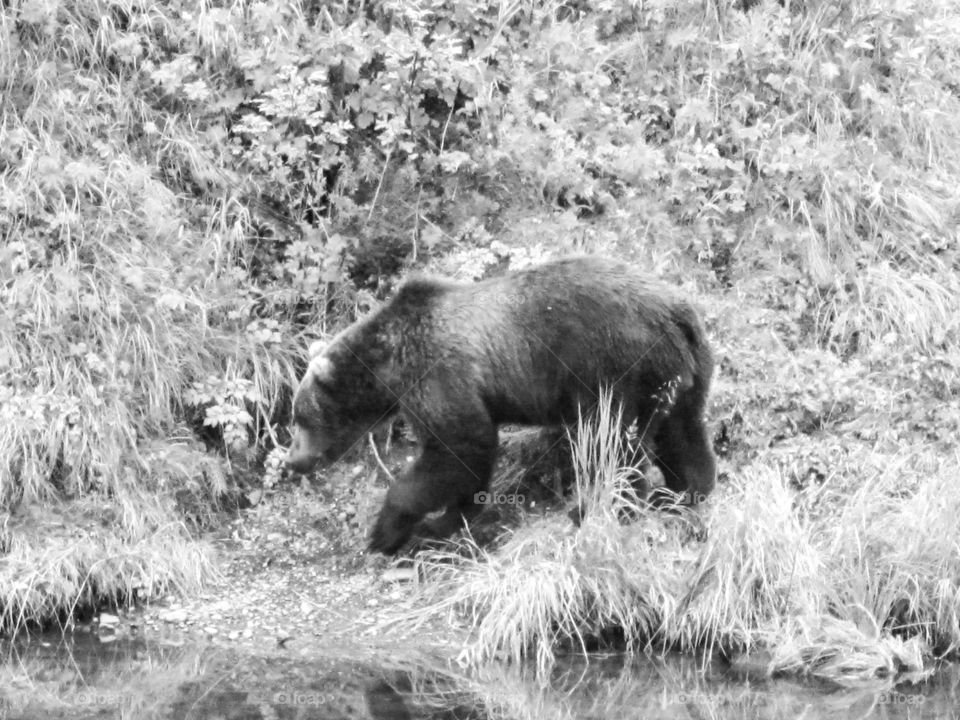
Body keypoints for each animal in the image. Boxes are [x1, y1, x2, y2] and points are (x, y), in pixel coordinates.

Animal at [284, 256, 712, 556]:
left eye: (300, 418)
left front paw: (387, 531)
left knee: (611, 443)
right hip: (680, 372)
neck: (388, 367)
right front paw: (449, 519)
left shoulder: (436, 372)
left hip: (612, 367)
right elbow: (467, 461)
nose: (293, 461)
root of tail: (675, 312)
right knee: (683, 433)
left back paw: (595, 508)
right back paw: (688, 492)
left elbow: (459, 448)